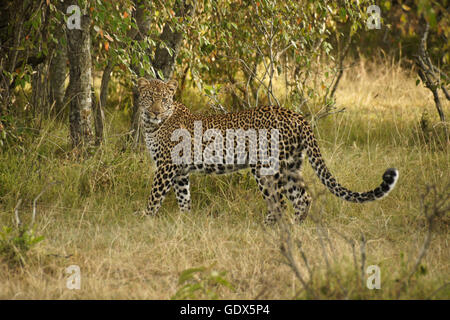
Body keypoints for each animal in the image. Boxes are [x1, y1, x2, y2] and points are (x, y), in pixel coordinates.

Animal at [135, 77, 400, 224]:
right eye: (149, 98)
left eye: (164, 100)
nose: (156, 111)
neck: (152, 125)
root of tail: (297, 116)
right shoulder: (179, 171)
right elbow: (183, 197)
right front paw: (185, 220)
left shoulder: (166, 166)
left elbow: (155, 195)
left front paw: (144, 219)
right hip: (291, 165)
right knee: (302, 198)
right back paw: (295, 226)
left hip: (265, 168)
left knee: (280, 202)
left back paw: (271, 227)